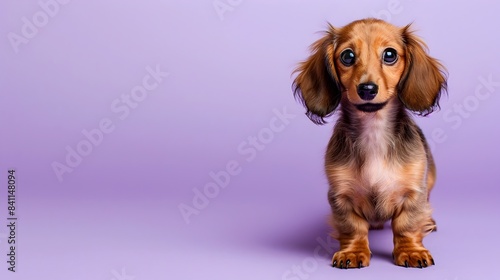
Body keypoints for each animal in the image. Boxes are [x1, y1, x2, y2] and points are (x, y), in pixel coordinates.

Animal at [292, 18, 448, 268]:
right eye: (347, 56)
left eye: (390, 54)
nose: (367, 89)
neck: (373, 131)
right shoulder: (341, 195)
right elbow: (353, 227)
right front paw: (353, 252)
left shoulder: (413, 193)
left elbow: (406, 225)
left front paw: (411, 251)